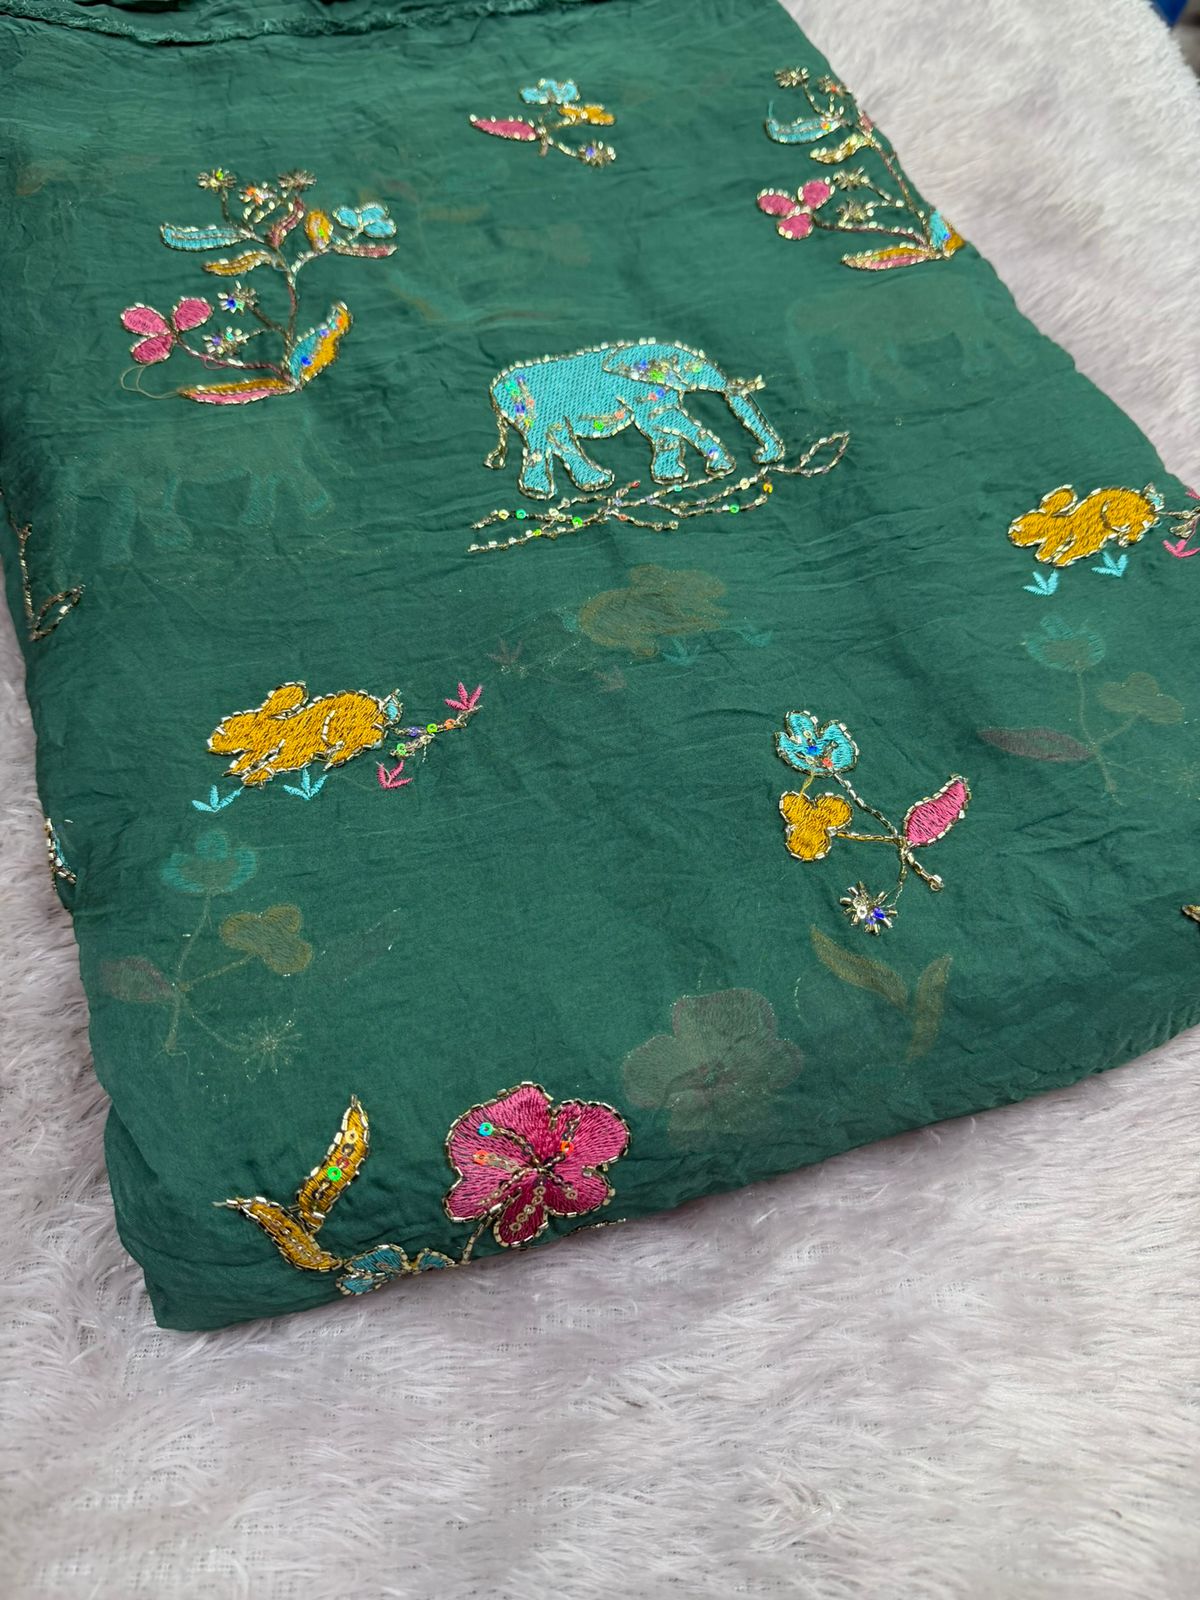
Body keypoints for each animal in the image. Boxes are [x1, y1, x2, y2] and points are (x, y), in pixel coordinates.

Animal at [485, 340, 786, 500]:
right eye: (685, 365)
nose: (760, 456)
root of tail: (496, 389)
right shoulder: (640, 388)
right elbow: (664, 419)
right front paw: (722, 469)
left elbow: (658, 426)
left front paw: (671, 477)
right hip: (530, 408)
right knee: (552, 439)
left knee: (552, 441)